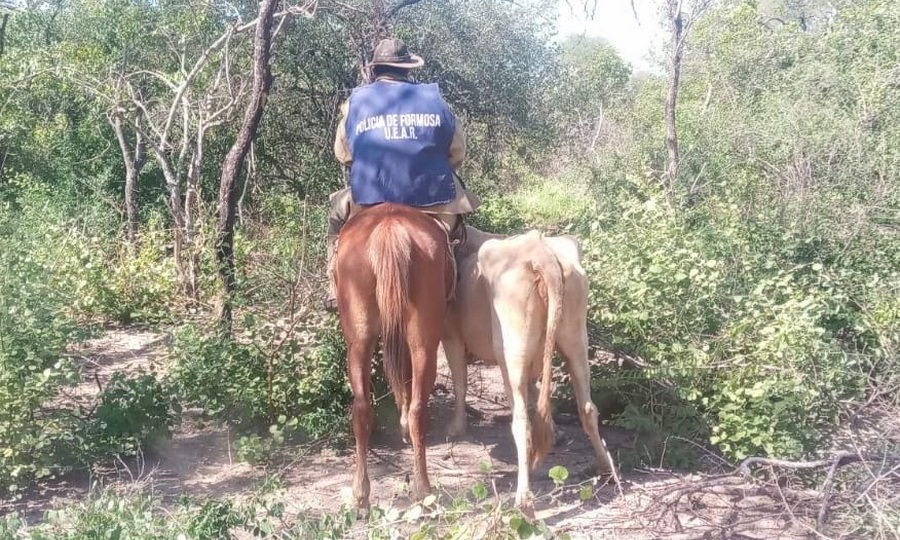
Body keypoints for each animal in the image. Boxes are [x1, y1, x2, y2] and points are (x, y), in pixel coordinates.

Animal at [442, 227, 620, 516]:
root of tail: (541, 254)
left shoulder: (451, 336)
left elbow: (459, 380)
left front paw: (456, 428)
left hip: (512, 349)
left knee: (521, 422)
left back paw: (523, 500)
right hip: (575, 338)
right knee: (587, 407)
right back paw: (603, 466)